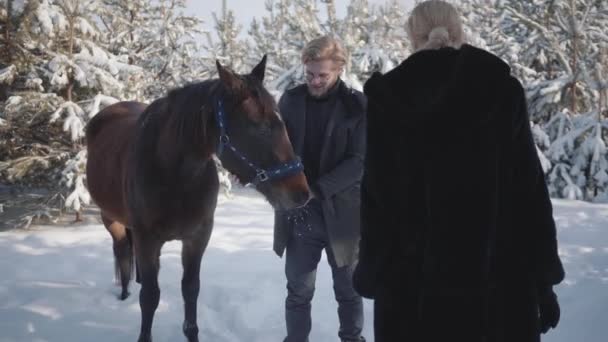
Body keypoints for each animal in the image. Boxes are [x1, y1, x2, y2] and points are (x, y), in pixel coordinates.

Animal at [85, 56, 312, 342]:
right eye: (257, 126)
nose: (301, 192)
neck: (174, 174)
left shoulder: (197, 238)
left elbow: (190, 289)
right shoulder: (147, 240)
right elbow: (150, 297)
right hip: (111, 220)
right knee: (122, 253)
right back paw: (124, 295)